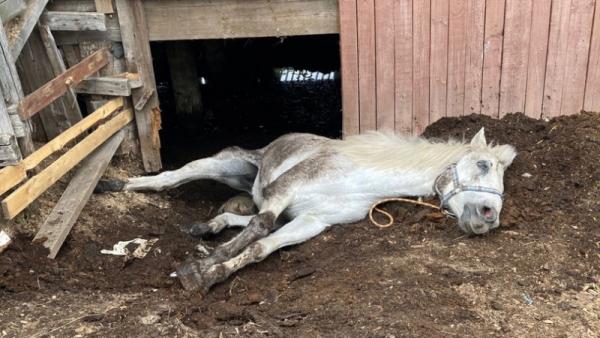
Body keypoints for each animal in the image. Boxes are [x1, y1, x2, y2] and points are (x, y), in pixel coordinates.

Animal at [97, 128, 516, 292]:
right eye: (482, 165)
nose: (488, 217)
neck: (359, 175)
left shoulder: (311, 221)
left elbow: (259, 245)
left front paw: (212, 272)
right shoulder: (284, 191)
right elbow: (260, 227)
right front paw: (197, 270)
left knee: (235, 217)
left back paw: (203, 228)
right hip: (217, 165)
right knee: (168, 179)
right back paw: (109, 186)